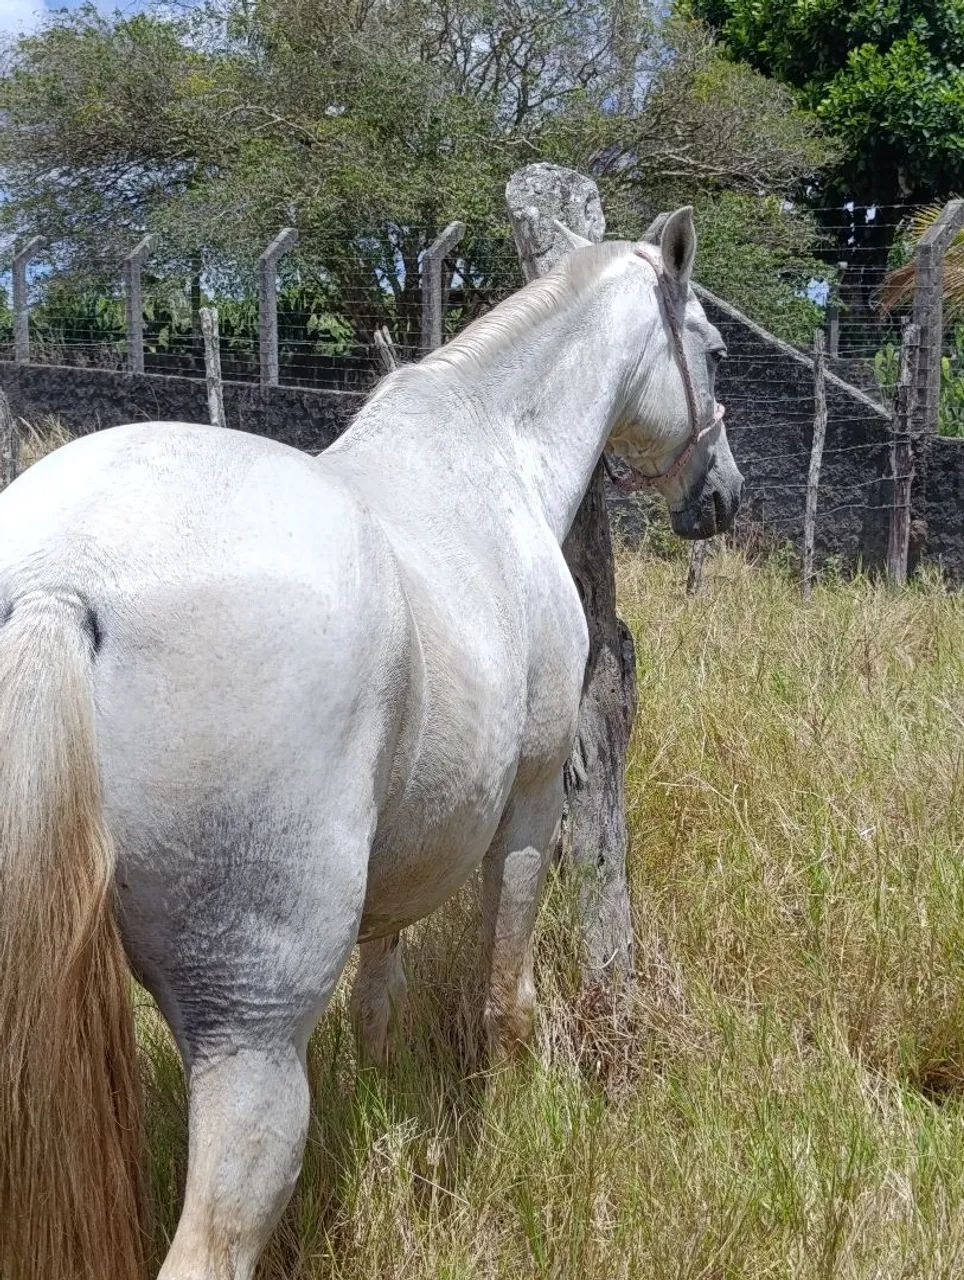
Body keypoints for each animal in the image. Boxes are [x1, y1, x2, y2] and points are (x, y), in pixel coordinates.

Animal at [0, 208, 742, 1280]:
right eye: (715, 348)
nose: (721, 495)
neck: (495, 458)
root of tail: (64, 582)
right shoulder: (530, 805)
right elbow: (505, 1001)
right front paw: (515, 1137)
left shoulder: (409, 843)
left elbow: (379, 995)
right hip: (251, 1040)